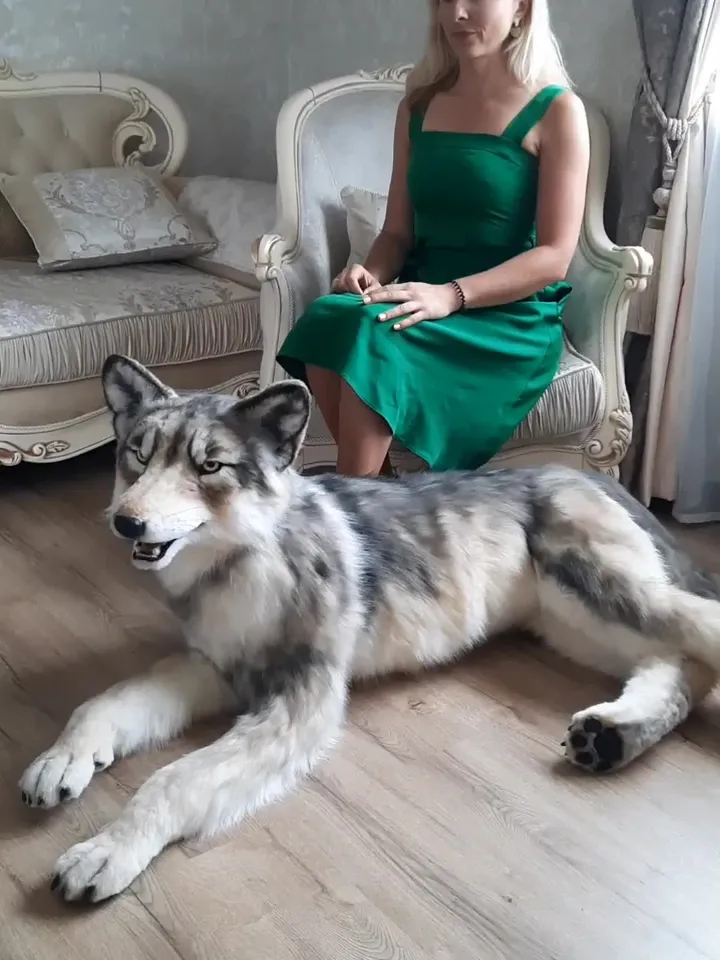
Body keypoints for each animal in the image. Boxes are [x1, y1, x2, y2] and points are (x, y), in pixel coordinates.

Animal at [20, 354, 720, 903]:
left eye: (210, 467)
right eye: (137, 456)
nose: (126, 523)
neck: (243, 557)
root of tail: (579, 472)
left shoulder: (299, 699)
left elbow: (172, 779)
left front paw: (110, 849)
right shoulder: (213, 667)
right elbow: (105, 702)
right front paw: (63, 758)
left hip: (605, 590)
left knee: (696, 641)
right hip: (572, 621)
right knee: (675, 668)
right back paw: (612, 736)